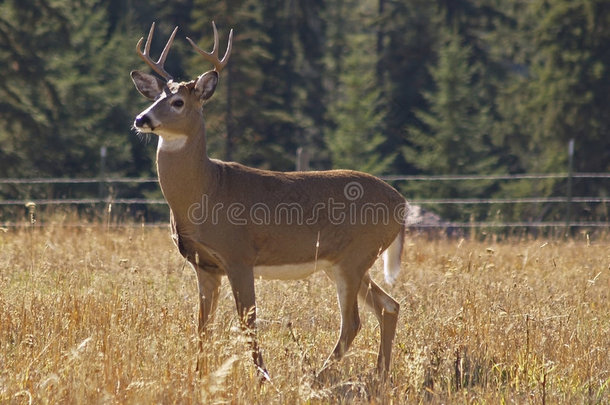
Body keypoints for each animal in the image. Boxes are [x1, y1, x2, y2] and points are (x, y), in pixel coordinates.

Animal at [131, 21, 406, 378]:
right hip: (345, 261)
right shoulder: (205, 266)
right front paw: (198, 376)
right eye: (156, 98)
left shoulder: (239, 255)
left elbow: (247, 323)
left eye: (178, 102)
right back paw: (380, 375)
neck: (206, 192)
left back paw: (317, 377)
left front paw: (263, 376)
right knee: (389, 306)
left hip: (355, 256)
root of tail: (401, 203)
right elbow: (203, 326)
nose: (141, 119)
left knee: (353, 322)